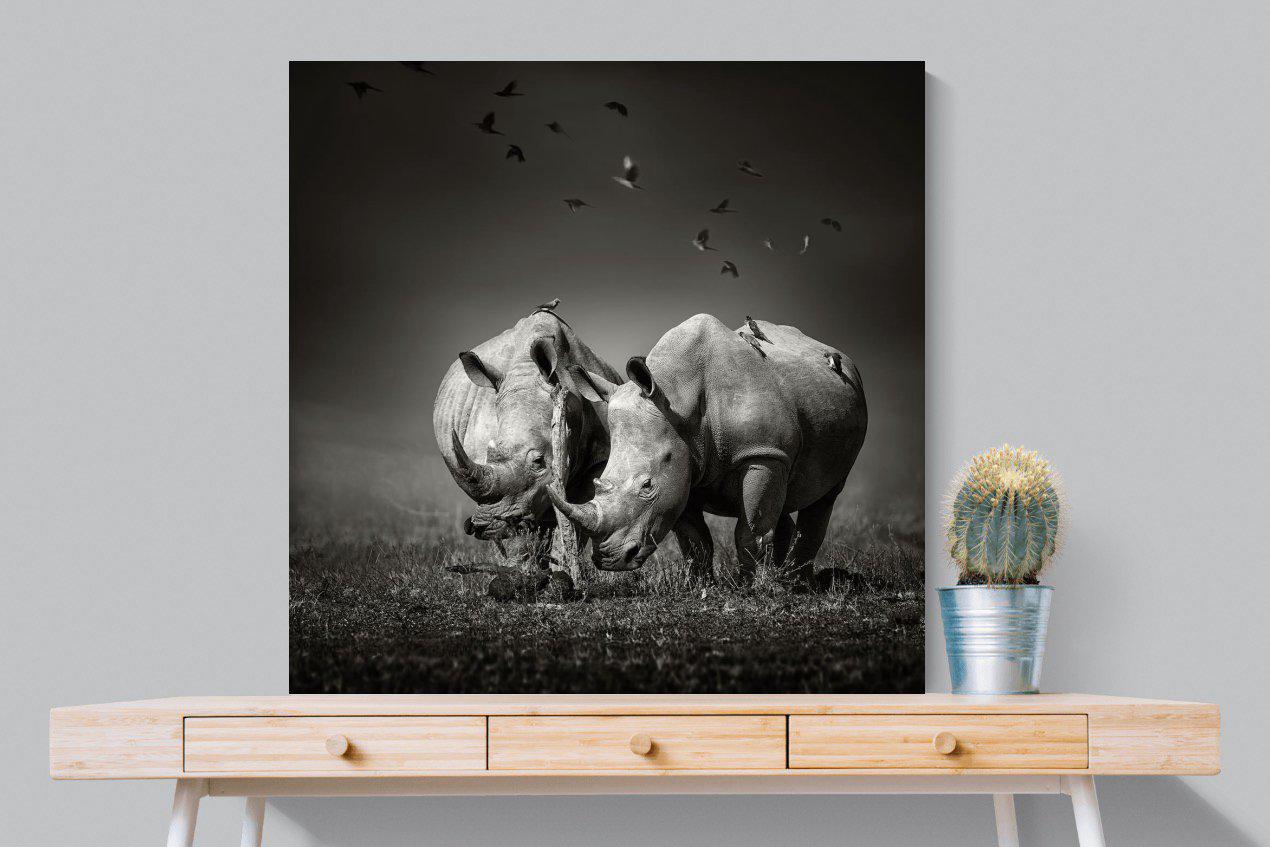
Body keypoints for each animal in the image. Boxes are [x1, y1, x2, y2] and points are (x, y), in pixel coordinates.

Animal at [549, 313, 866, 584]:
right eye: (598, 482)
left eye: (647, 486)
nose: (609, 559)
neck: (677, 397)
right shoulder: (683, 463)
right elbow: (695, 539)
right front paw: (700, 586)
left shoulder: (763, 453)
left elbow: (750, 531)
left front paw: (751, 588)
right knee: (783, 499)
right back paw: (784, 577)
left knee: (825, 497)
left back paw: (797, 583)